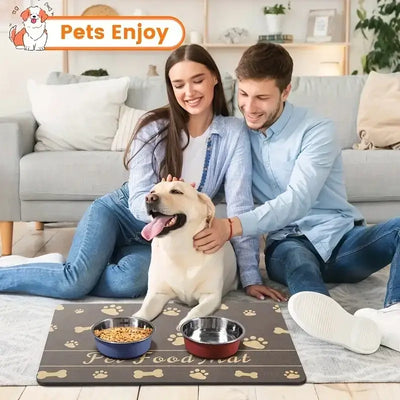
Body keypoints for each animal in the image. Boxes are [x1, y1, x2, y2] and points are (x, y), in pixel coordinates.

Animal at [134, 180, 238, 328]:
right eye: (152, 191)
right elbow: (145, 310)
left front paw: (186, 322)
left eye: (176, 191)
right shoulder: (157, 293)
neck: (179, 249)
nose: (149, 198)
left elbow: (197, 310)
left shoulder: (210, 296)